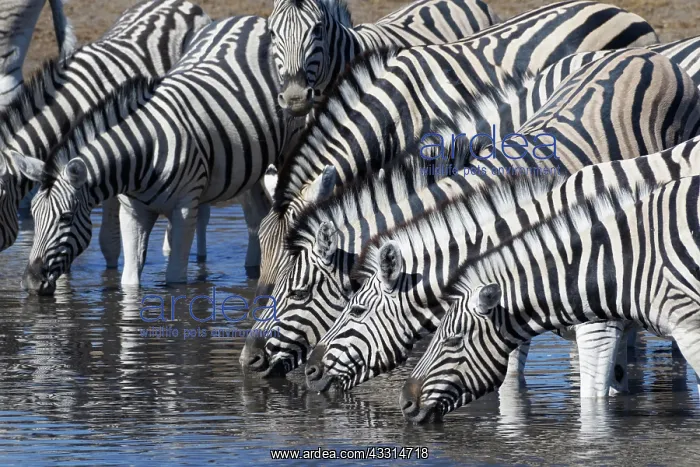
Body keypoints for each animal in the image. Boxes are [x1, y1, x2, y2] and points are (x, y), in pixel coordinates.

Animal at [14, 15, 304, 295]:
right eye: (34, 216)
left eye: (65, 217)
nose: (30, 282)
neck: (144, 154)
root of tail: (252, 18)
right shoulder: (132, 211)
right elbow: (129, 280)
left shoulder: (185, 208)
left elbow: (175, 280)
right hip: (249, 165)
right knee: (256, 216)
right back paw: (252, 271)